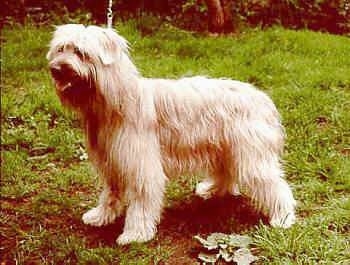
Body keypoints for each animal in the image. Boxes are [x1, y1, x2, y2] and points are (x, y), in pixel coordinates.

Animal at [46, 24, 296, 243]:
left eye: (80, 52)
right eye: (60, 49)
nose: (55, 70)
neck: (116, 101)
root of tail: (262, 98)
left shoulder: (140, 164)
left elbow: (142, 199)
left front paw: (135, 234)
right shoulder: (112, 163)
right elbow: (110, 193)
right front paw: (100, 216)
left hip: (250, 155)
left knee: (274, 185)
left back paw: (283, 217)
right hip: (225, 148)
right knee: (227, 172)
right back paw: (212, 189)